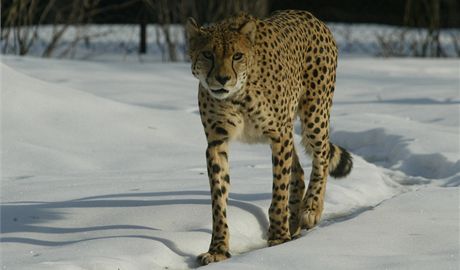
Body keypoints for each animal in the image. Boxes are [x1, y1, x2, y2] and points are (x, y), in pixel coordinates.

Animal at [186, 10, 352, 264]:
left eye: (237, 56)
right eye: (207, 54)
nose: (223, 79)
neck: (237, 95)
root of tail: (308, 15)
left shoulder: (278, 135)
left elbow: (279, 189)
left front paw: (278, 236)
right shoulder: (216, 142)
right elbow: (218, 199)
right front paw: (218, 248)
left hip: (314, 116)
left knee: (321, 157)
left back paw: (311, 209)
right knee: (299, 170)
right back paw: (295, 221)